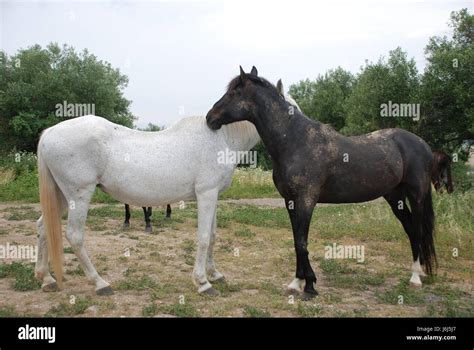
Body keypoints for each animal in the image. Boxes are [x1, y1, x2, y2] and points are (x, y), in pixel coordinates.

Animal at [36, 70, 296, 296]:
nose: (211, 119)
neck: (222, 138)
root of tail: (49, 133)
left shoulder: (213, 196)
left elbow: (212, 235)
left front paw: (215, 274)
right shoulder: (206, 194)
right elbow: (203, 237)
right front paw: (203, 283)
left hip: (61, 195)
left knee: (43, 226)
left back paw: (46, 278)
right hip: (79, 195)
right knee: (74, 235)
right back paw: (100, 283)